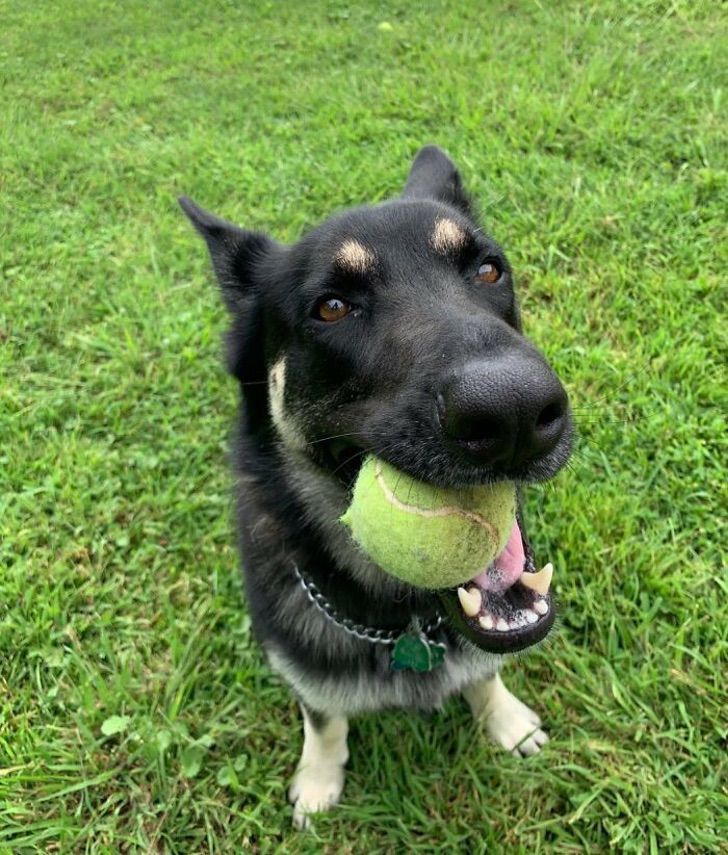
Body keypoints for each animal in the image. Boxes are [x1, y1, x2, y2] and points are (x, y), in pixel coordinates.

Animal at [179, 147, 572, 828]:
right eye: (332, 307)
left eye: (488, 270)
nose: (517, 413)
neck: (404, 622)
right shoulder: (302, 667)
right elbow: (324, 719)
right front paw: (318, 778)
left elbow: (485, 674)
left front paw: (504, 720)